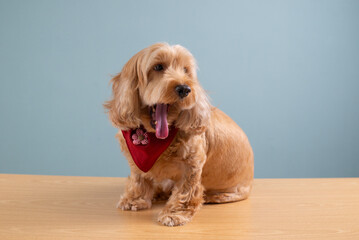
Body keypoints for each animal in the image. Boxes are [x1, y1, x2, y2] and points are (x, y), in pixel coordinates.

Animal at [104, 43, 255, 227]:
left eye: (185, 70)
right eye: (158, 67)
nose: (185, 88)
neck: (154, 138)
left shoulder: (192, 164)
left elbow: (186, 190)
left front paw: (175, 213)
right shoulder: (136, 161)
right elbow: (139, 178)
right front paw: (135, 199)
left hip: (236, 189)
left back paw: (212, 196)